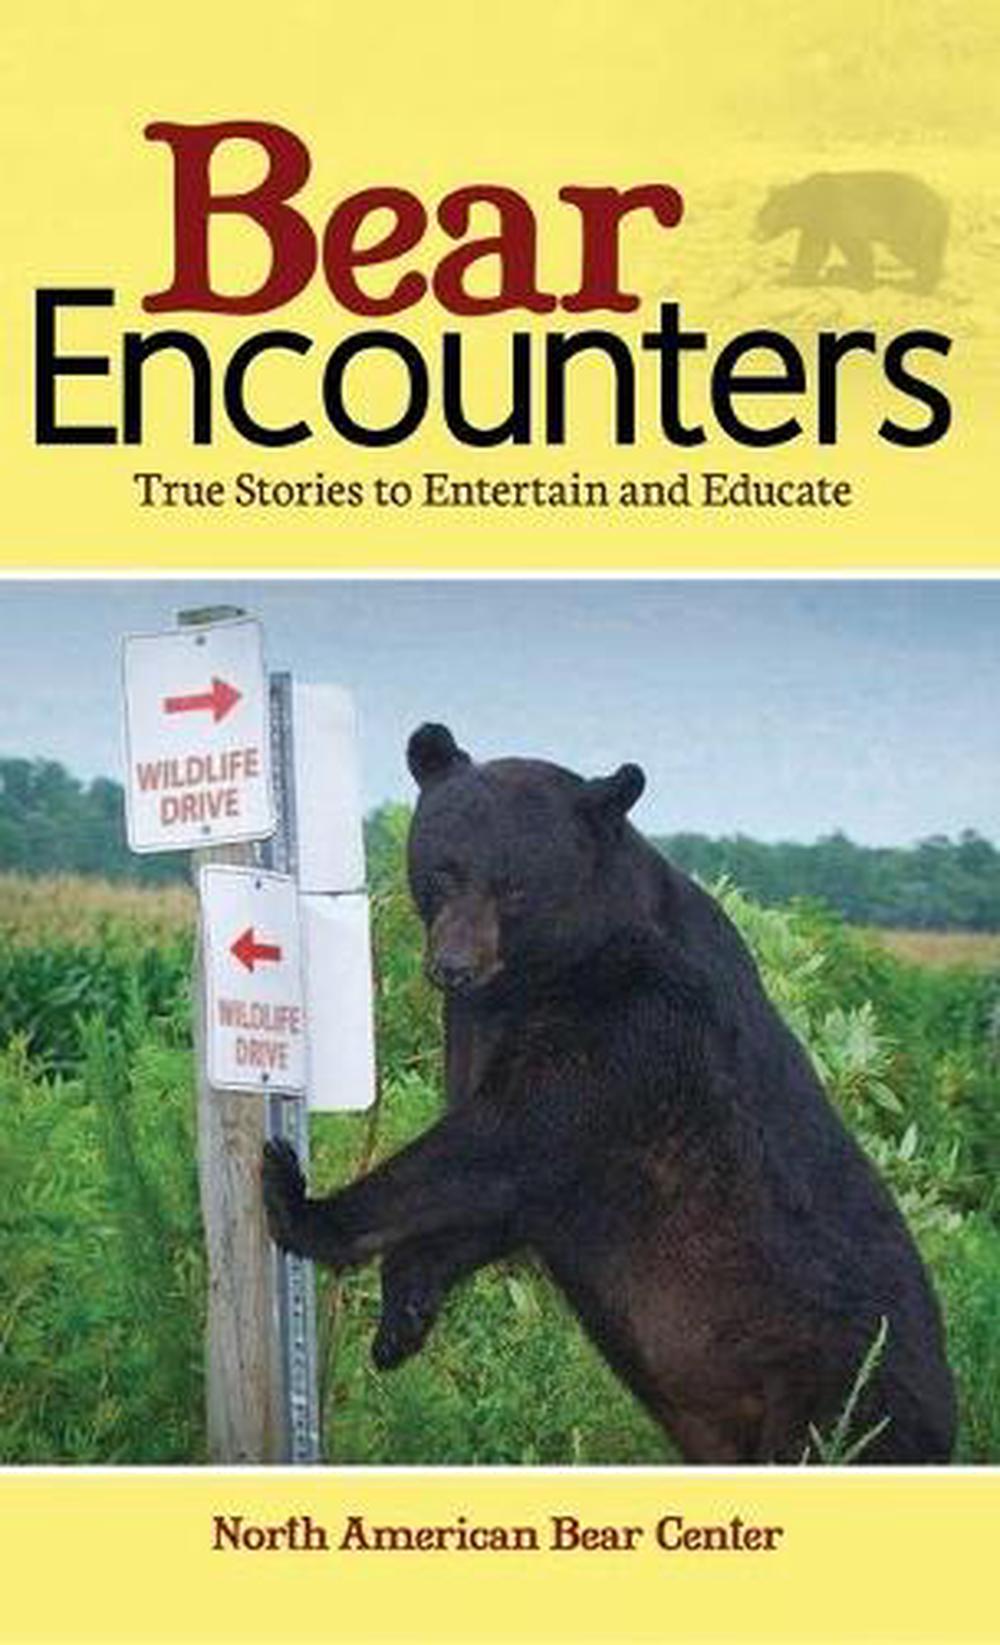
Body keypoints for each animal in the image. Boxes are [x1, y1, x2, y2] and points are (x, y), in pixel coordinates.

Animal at [262, 723, 957, 1464]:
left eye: (515, 886)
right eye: (443, 870)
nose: (453, 967)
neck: (550, 967)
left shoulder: (631, 1027)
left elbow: (499, 1142)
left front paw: (296, 1197)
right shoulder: (487, 1031)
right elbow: (506, 1198)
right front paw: (404, 1314)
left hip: (833, 1397)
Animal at [754, 171, 949, 293]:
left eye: (760, 219)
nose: (752, 235)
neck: (809, 201)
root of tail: (940, 202)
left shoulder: (838, 210)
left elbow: (855, 244)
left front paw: (862, 283)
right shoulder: (818, 225)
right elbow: (812, 251)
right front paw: (789, 280)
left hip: (909, 219)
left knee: (909, 249)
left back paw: (917, 286)